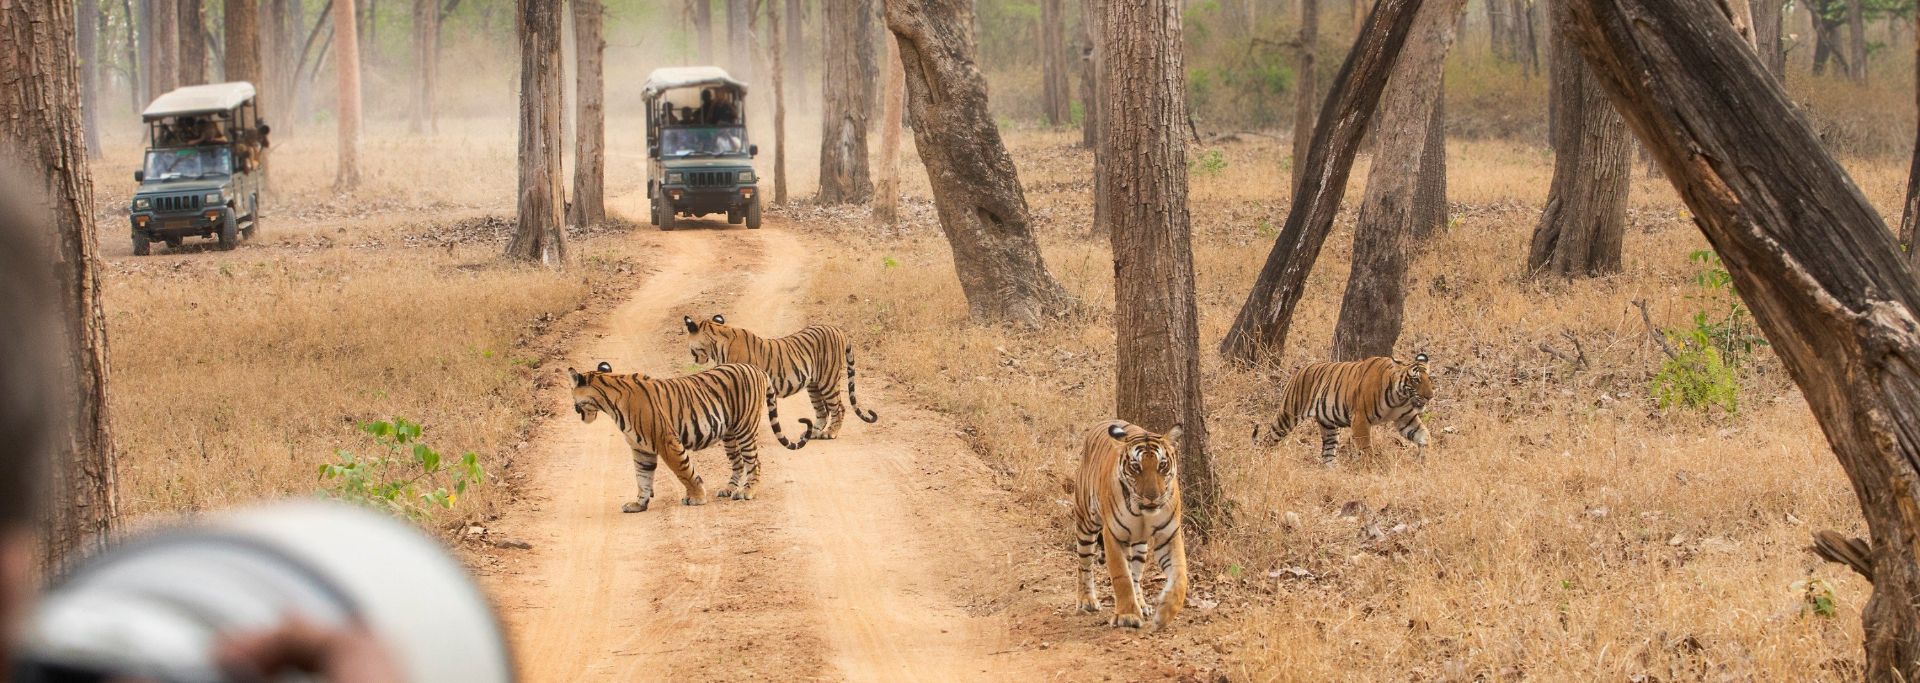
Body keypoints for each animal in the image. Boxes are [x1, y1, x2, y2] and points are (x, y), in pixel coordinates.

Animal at [568, 362, 810, 514]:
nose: (574, 408)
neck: (608, 403)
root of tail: (756, 368)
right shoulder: (640, 448)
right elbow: (642, 477)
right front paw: (639, 504)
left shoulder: (666, 440)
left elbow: (684, 471)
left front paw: (697, 498)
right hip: (730, 434)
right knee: (738, 463)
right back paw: (729, 489)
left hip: (745, 428)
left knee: (754, 462)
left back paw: (747, 492)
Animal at [683, 312, 879, 437]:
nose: (694, 357)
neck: (715, 343)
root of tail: (838, 330)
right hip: (813, 385)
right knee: (822, 411)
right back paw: (813, 433)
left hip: (828, 379)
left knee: (838, 407)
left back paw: (831, 433)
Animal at [1067, 422, 1182, 629]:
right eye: (1136, 467)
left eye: (1162, 465)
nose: (1152, 497)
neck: (1142, 511)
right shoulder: (1113, 535)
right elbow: (1121, 576)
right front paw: (1127, 615)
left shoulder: (1168, 535)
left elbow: (1179, 576)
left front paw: (1165, 613)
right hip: (1086, 522)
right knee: (1084, 564)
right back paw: (1087, 600)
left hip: (1140, 545)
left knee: (1136, 574)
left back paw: (1142, 604)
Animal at [1251, 353, 1436, 464]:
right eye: (1416, 380)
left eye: (1430, 379)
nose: (1430, 396)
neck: (1400, 397)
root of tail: (1300, 370)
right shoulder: (1360, 419)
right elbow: (1366, 447)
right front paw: (1372, 467)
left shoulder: (1406, 419)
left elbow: (1424, 435)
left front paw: (1426, 459)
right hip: (1288, 415)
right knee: (1268, 438)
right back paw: (1258, 460)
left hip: (1329, 426)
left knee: (1327, 454)